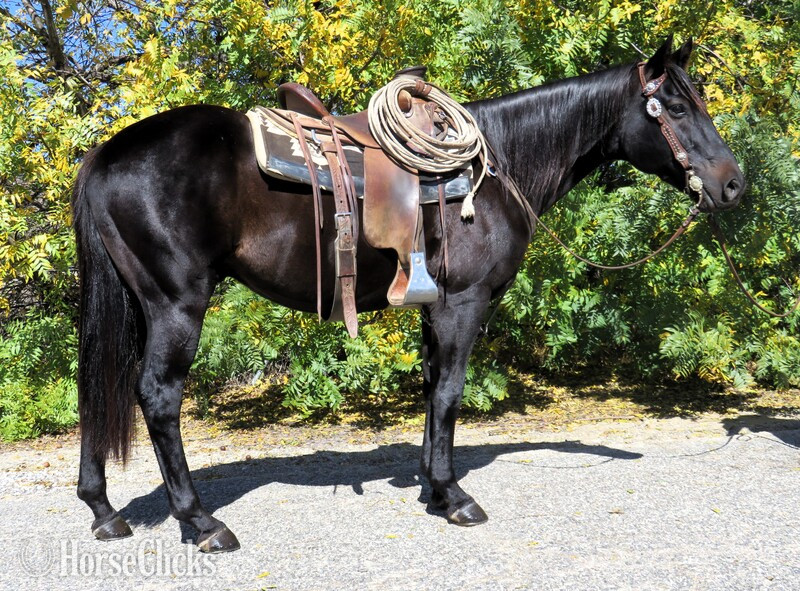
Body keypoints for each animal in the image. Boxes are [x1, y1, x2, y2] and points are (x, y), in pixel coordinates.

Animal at [71, 37, 744, 553]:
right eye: (675, 107)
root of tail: (106, 154)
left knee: (99, 390)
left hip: (136, 306)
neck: (496, 169)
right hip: (176, 304)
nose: (733, 185)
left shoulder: (433, 309)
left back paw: (103, 511)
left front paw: (430, 486)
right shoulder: (463, 304)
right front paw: (454, 496)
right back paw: (201, 522)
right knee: (159, 397)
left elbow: (430, 390)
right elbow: (449, 394)